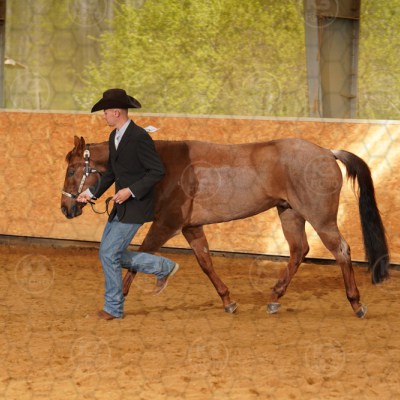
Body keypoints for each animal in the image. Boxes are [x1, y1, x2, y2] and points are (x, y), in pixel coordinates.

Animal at [61, 135, 390, 317]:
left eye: (72, 170)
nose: (66, 208)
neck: (163, 168)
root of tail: (327, 152)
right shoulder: (191, 227)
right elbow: (206, 263)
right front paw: (228, 302)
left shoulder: (168, 224)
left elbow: (137, 257)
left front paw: (116, 304)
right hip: (290, 213)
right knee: (299, 251)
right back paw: (274, 300)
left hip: (320, 218)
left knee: (341, 250)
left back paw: (356, 304)